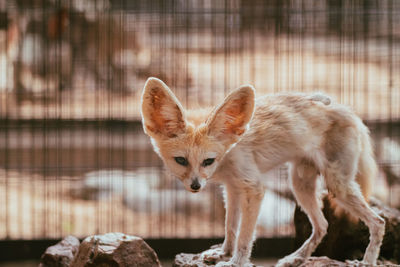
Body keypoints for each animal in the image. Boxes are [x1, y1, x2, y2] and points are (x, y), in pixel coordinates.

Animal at [140, 76, 384, 266]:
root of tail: (349, 110)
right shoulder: (232, 188)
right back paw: (296, 258)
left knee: (378, 222)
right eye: (181, 160)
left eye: (208, 161)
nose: (195, 186)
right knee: (322, 225)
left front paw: (235, 262)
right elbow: (230, 227)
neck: (228, 154)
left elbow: (245, 236)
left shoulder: (254, 189)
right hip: (300, 185)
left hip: (337, 186)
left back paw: (366, 262)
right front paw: (223, 254)